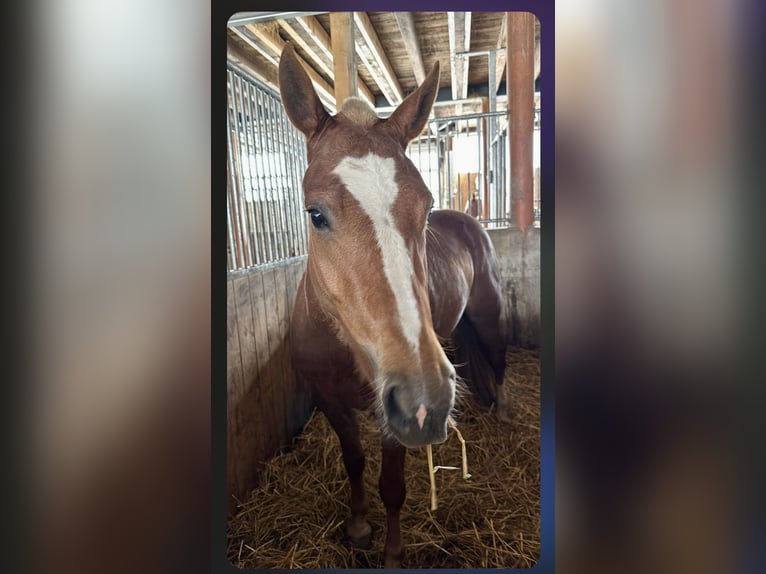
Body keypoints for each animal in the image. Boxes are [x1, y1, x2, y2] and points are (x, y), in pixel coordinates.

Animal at [280, 42, 510, 568]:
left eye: (424, 209)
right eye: (315, 214)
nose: (427, 398)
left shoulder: (393, 417)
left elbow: (392, 486)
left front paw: (391, 554)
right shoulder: (330, 401)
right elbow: (353, 462)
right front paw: (358, 527)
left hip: (488, 315)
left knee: (499, 361)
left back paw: (502, 414)